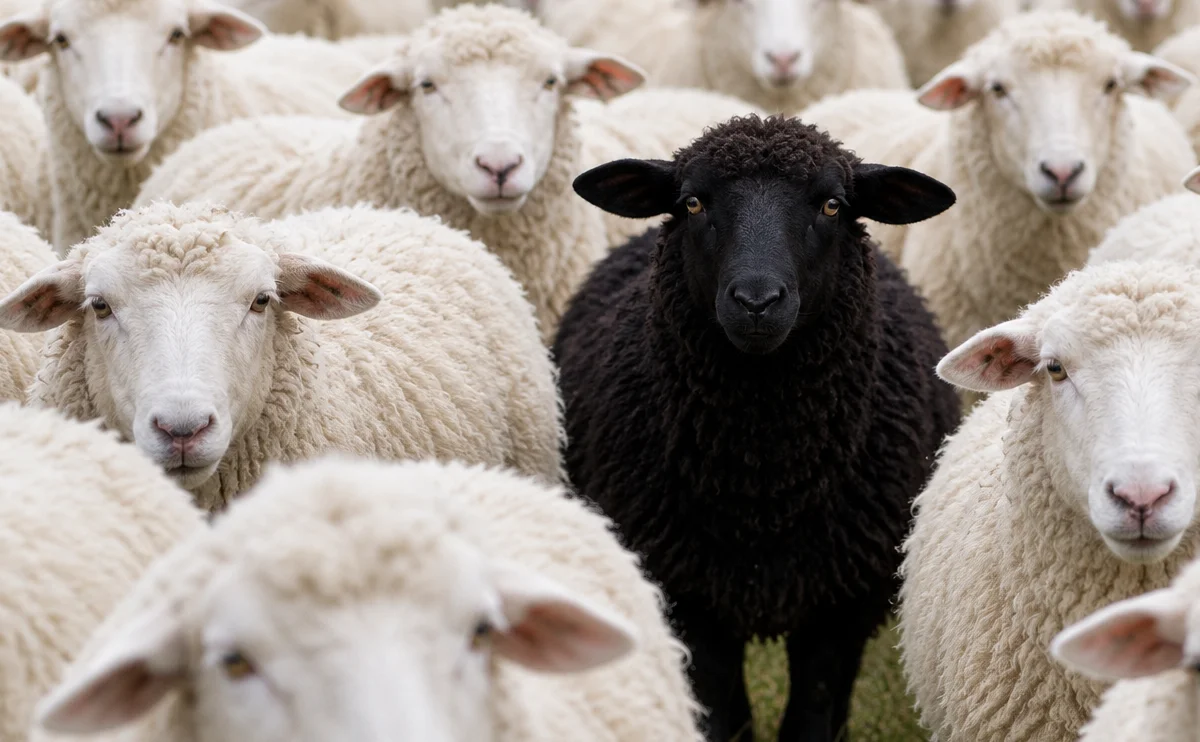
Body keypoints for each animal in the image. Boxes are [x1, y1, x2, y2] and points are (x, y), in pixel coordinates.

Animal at [559, 115, 961, 742]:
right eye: (693, 202)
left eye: (832, 205)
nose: (756, 300)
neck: (764, 475)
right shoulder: (687, 592)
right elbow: (719, 708)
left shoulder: (842, 601)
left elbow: (814, 708)